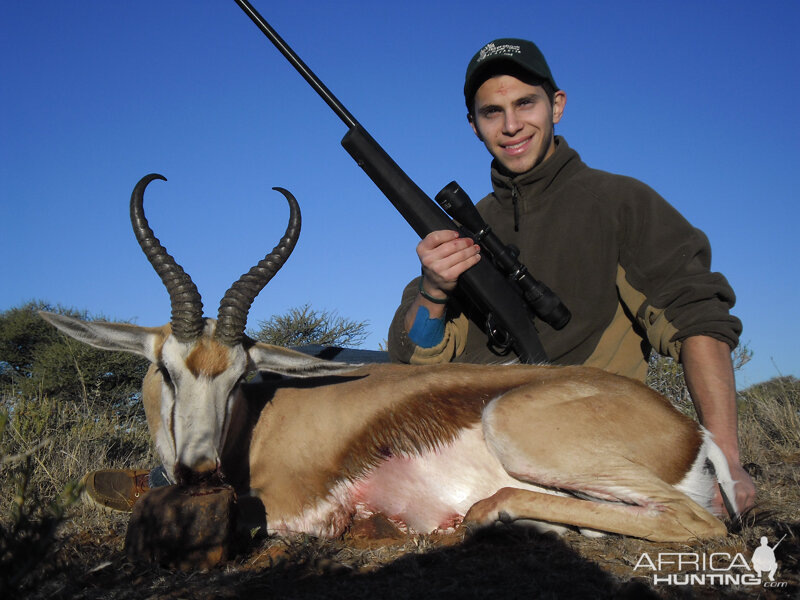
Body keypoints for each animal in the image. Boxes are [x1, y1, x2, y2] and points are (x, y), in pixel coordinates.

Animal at [40, 175, 736, 544]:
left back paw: (482, 515)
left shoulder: (296, 508)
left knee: (700, 522)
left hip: (517, 431)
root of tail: (695, 436)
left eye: (240, 377)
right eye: (167, 369)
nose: (200, 470)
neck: (255, 428)